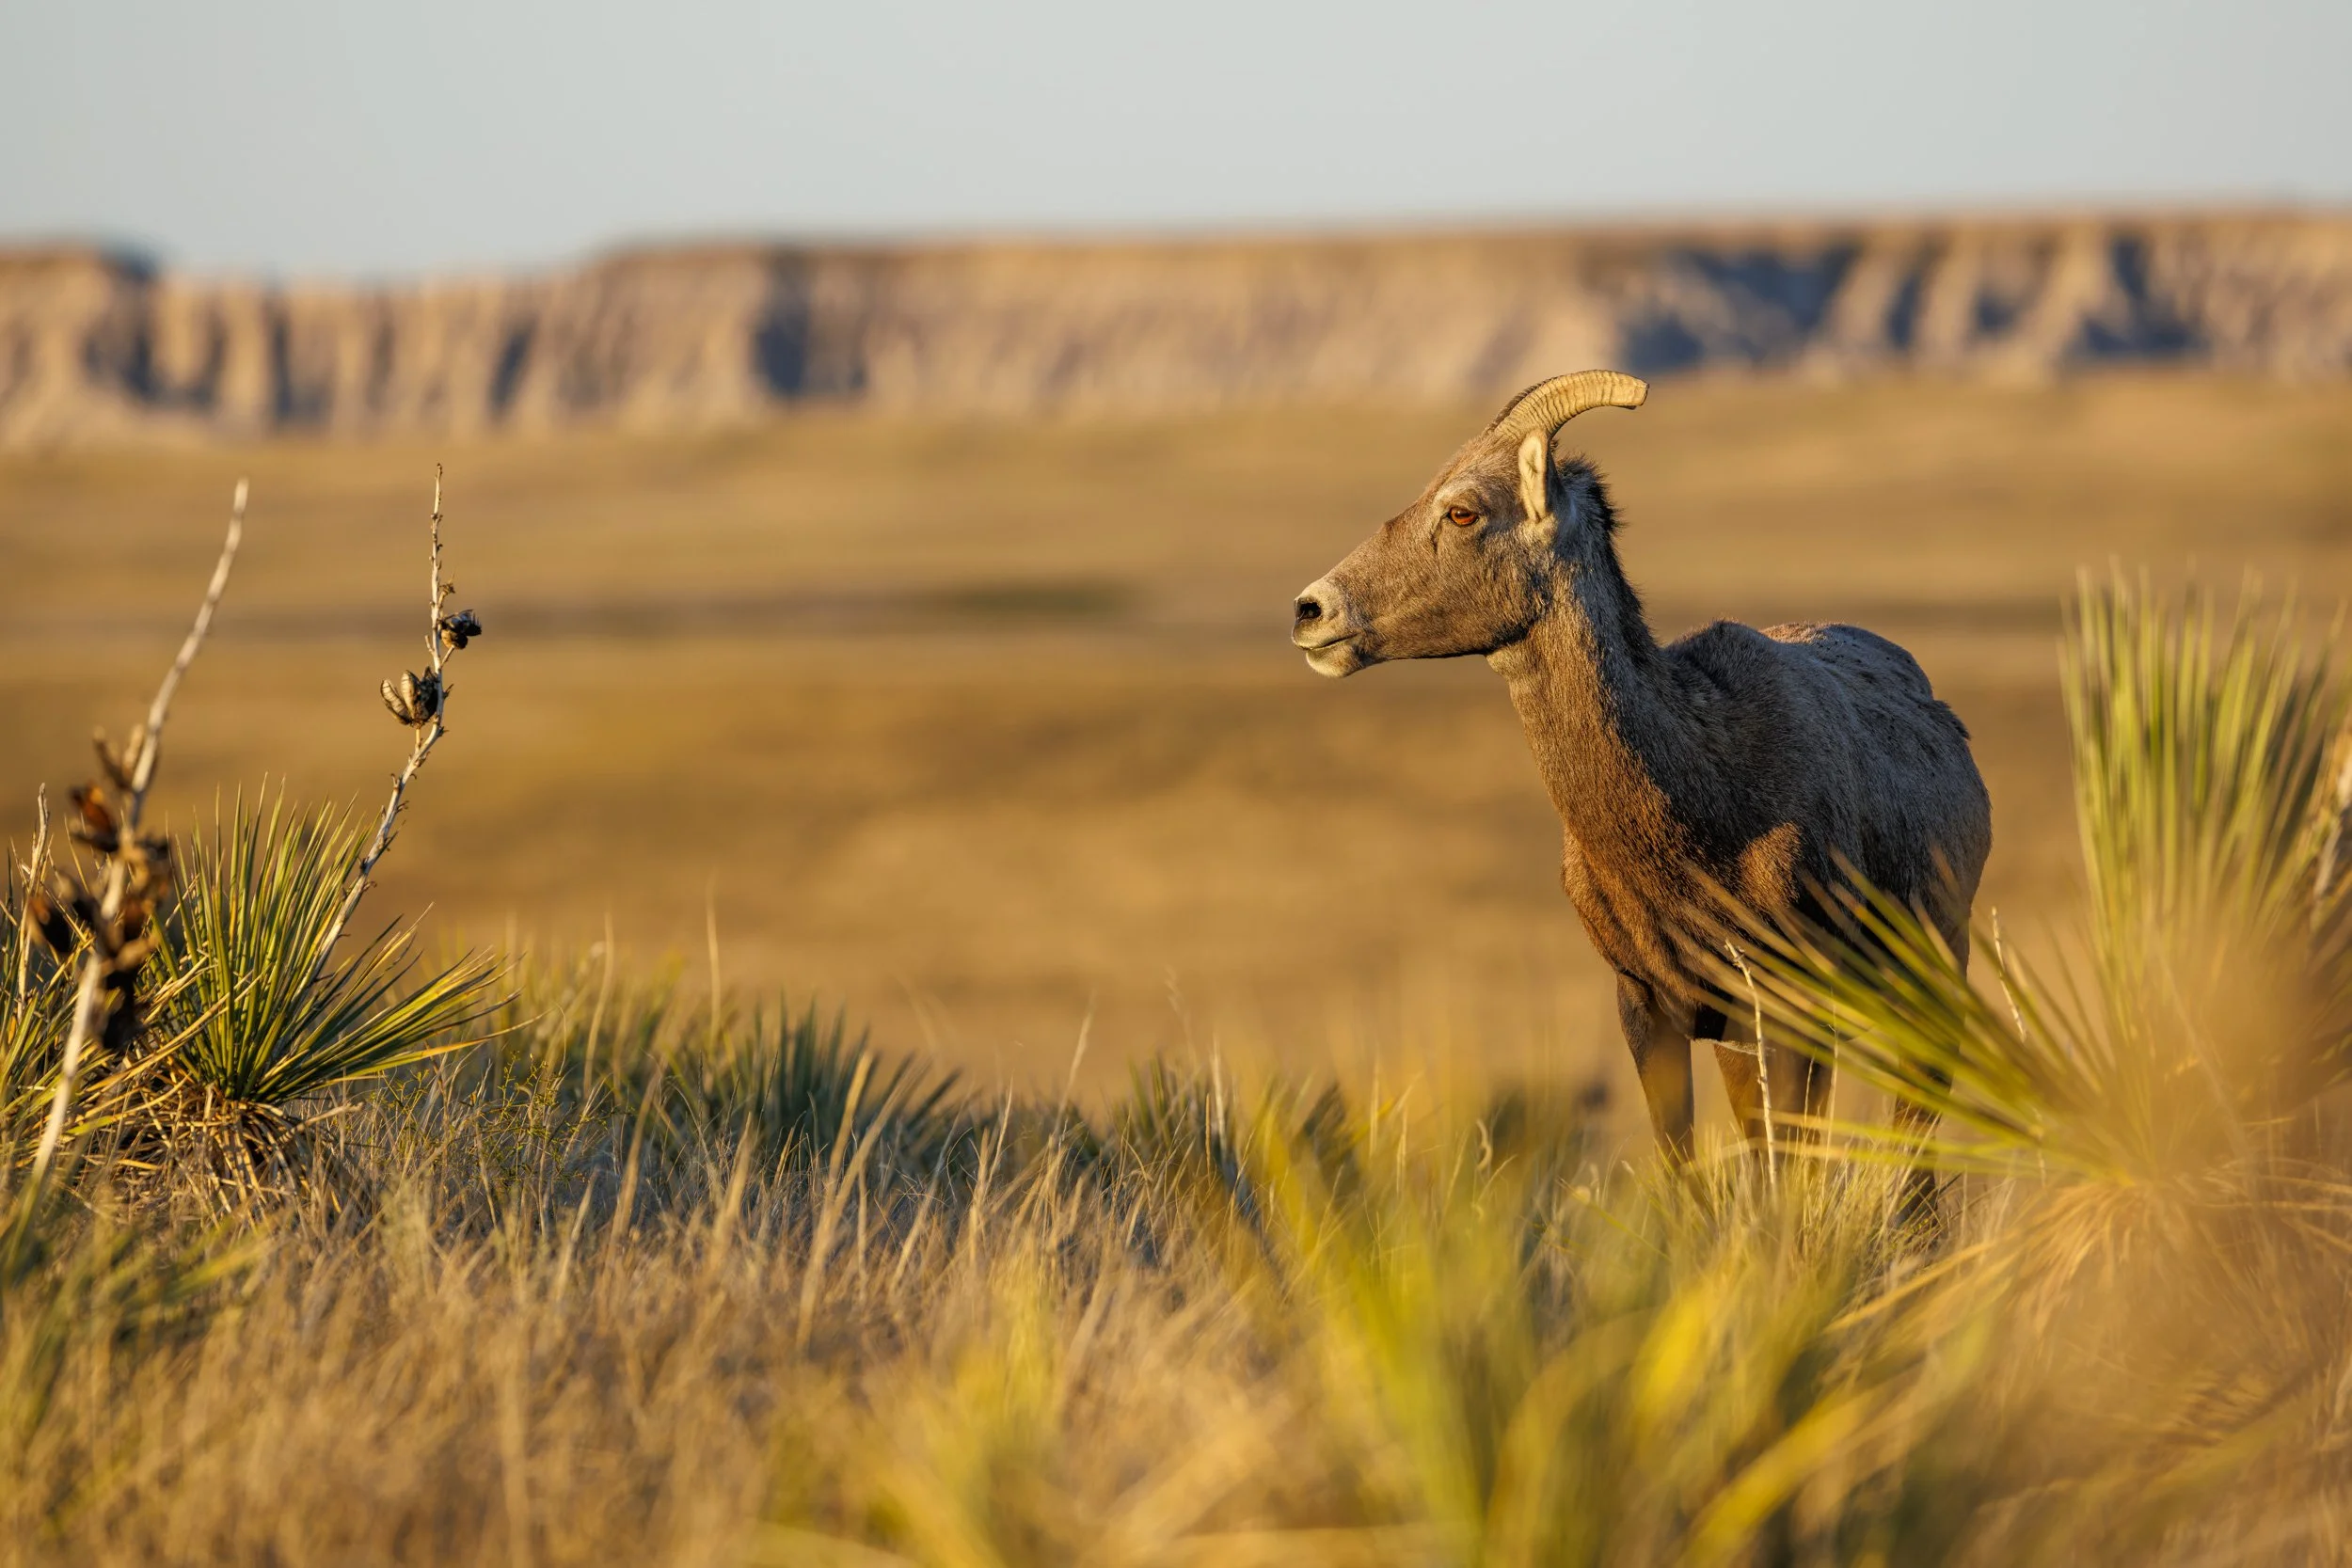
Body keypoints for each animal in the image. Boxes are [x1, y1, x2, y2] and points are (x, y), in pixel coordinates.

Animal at [1290, 370, 1991, 1200]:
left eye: (1463, 510)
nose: (1312, 611)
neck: (1701, 805)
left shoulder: (1784, 1008)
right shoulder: (1654, 1011)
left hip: (1930, 989)